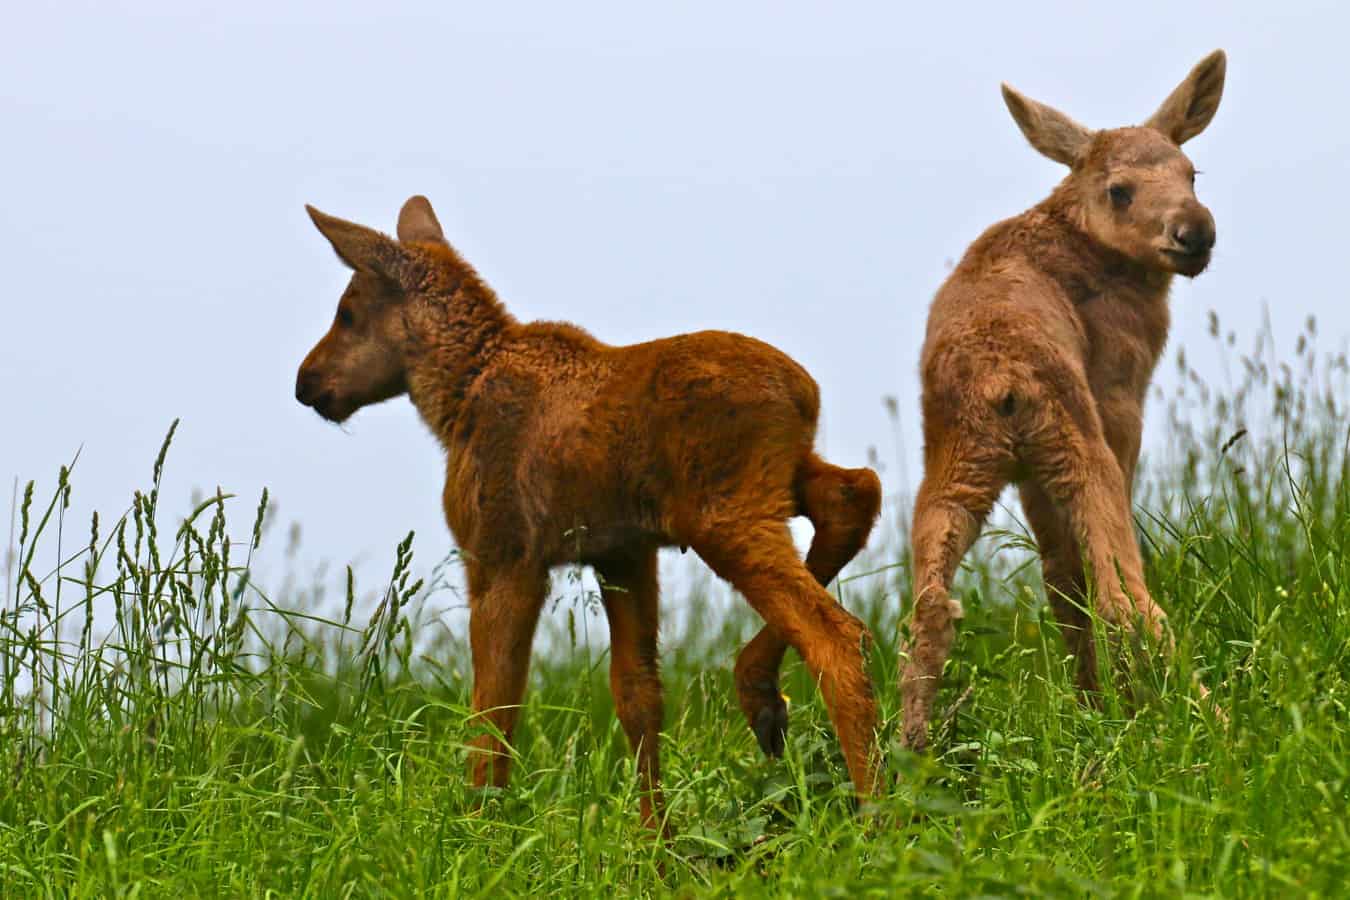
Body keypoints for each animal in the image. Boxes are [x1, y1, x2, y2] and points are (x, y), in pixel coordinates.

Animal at [297, 197, 885, 831]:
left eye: (348, 313)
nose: (306, 381)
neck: (453, 401)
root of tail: (805, 393)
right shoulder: (622, 552)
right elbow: (637, 694)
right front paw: (655, 837)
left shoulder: (503, 554)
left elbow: (495, 706)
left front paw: (480, 826)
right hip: (778, 482)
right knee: (855, 494)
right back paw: (762, 697)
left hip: (725, 512)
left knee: (835, 631)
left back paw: (878, 810)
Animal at [896, 52, 1236, 750]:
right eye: (1119, 190)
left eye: (1191, 172)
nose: (1196, 232)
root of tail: (999, 380)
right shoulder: (1122, 397)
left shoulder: (1031, 479)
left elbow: (1060, 578)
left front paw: (1092, 706)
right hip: (1081, 448)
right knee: (1125, 598)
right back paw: (1212, 724)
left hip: (959, 472)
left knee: (932, 611)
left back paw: (903, 764)